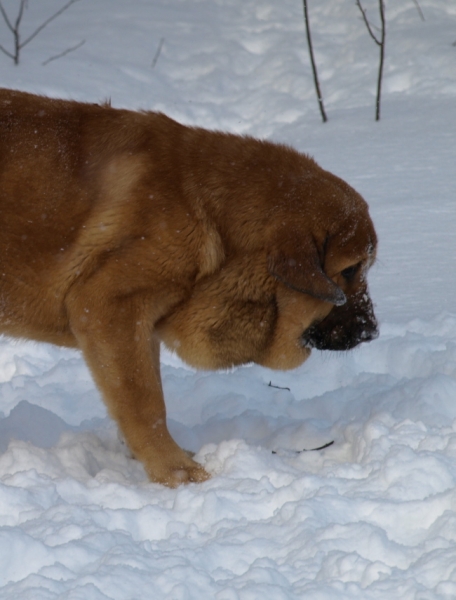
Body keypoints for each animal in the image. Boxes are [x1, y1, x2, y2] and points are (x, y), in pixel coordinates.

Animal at [0, 88, 378, 482]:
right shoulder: (109, 307)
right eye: (351, 269)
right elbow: (145, 405)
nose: (372, 331)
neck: (210, 214)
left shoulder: (139, 328)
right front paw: (178, 473)